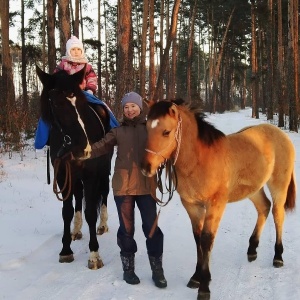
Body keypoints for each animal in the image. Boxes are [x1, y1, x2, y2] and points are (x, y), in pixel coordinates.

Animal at [36, 66, 111, 270]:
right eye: (56, 103)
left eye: (81, 104)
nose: (82, 147)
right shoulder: (62, 174)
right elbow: (67, 212)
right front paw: (65, 250)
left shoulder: (91, 175)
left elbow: (91, 212)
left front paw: (94, 255)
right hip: (74, 177)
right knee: (78, 197)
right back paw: (76, 230)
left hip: (103, 171)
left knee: (104, 194)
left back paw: (103, 225)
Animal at [141, 101, 296, 300]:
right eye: (146, 128)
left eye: (166, 132)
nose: (146, 167)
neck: (199, 161)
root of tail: (279, 133)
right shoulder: (191, 206)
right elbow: (197, 239)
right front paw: (196, 277)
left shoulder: (215, 205)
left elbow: (206, 240)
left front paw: (204, 287)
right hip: (253, 189)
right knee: (264, 207)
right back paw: (252, 250)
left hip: (279, 186)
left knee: (277, 214)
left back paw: (278, 257)